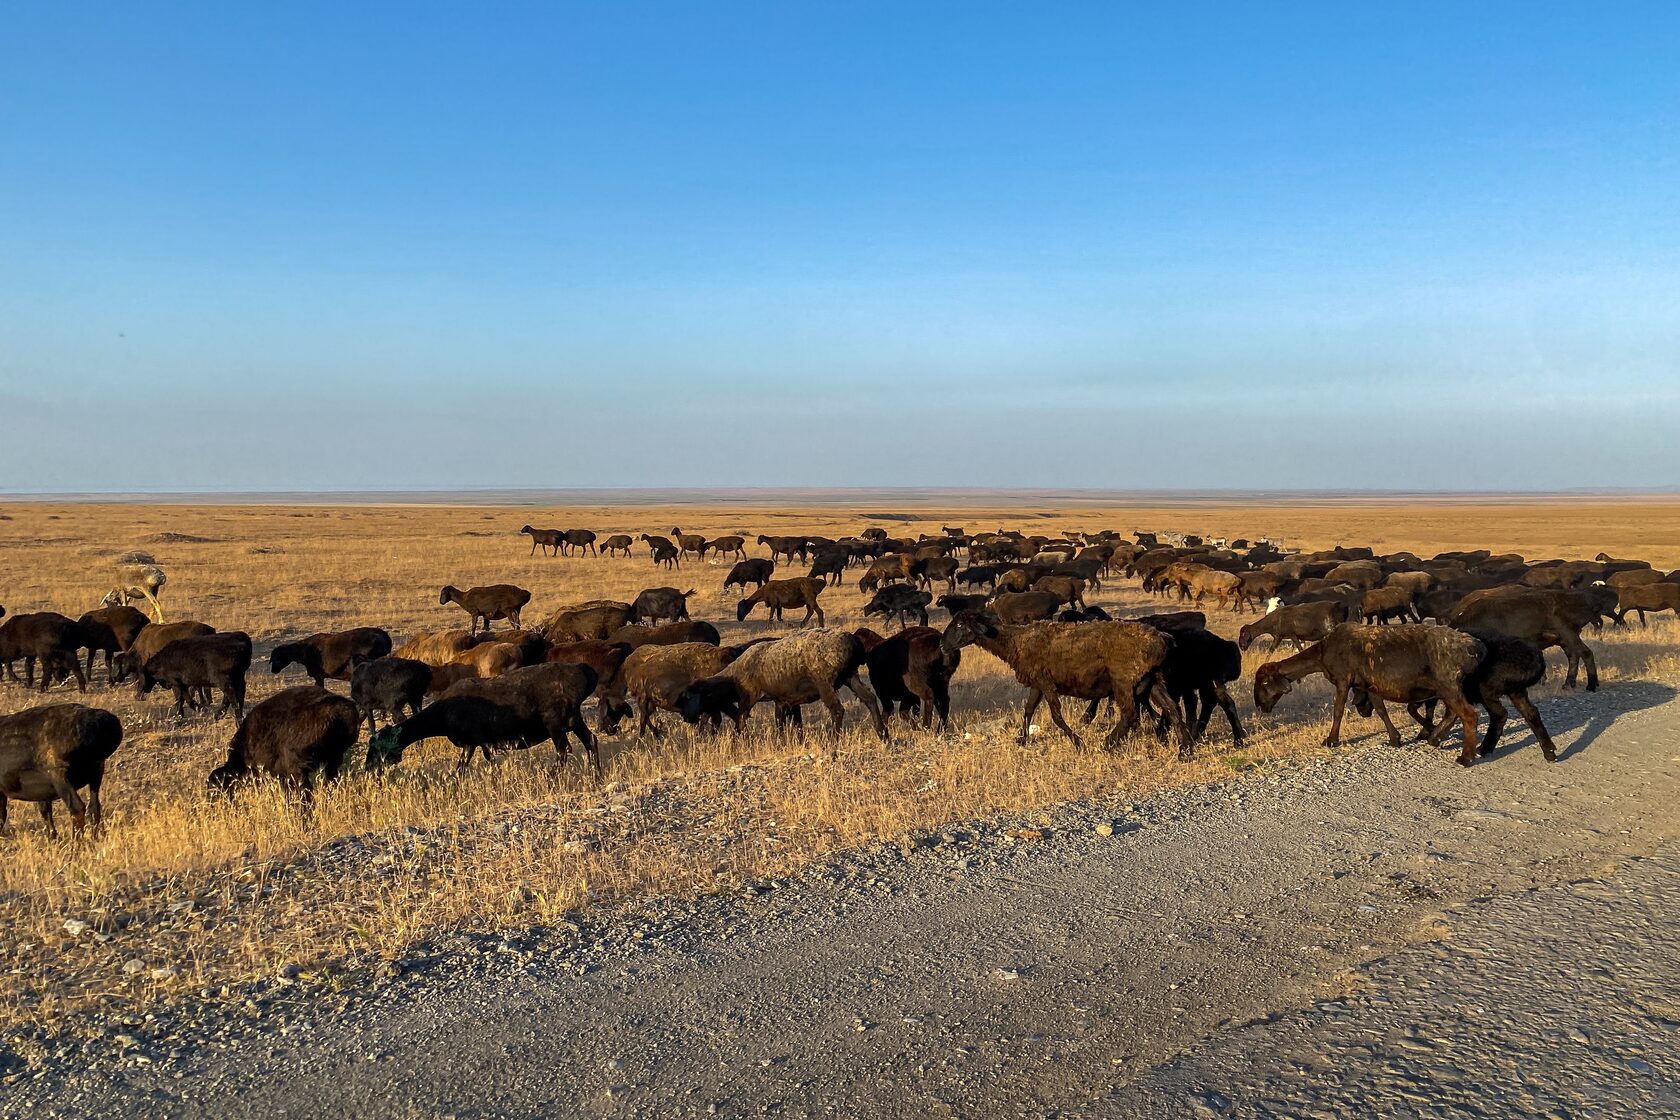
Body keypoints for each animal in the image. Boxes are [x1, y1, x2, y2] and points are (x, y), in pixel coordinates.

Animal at [672, 628, 887, 748]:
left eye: (690, 697)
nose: (686, 717)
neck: (732, 676)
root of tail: (854, 642)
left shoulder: (748, 698)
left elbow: (740, 721)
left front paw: (737, 744)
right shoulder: (781, 700)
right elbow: (780, 724)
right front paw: (782, 743)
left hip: (824, 682)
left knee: (837, 709)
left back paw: (833, 742)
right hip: (851, 676)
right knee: (869, 698)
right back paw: (883, 734)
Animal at [940, 607, 1189, 758]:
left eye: (960, 626)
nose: (942, 646)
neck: (1014, 642)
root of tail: (1163, 640)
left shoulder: (1046, 682)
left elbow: (1056, 716)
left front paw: (1078, 742)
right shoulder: (1037, 683)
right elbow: (1028, 710)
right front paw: (1022, 740)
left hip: (1124, 680)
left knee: (1130, 715)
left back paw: (1108, 744)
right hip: (1152, 679)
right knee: (1173, 710)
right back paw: (1185, 750)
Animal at [1249, 628, 1485, 765]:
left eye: (1264, 682)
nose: (1260, 705)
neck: (1322, 653)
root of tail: (1474, 646)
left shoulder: (1343, 680)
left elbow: (1338, 710)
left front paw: (1331, 740)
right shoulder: (1370, 685)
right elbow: (1381, 710)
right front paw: (1394, 739)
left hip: (1448, 683)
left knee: (1468, 715)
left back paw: (1465, 756)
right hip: (1447, 687)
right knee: (1452, 714)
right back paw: (1435, 737)